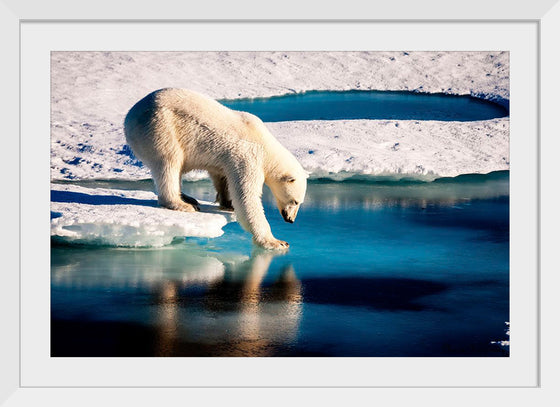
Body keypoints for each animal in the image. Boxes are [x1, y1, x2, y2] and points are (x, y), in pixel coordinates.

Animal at [123, 88, 306, 250]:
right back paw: (182, 204)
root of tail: (129, 117)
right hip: (160, 127)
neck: (266, 146)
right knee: (169, 163)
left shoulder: (227, 159)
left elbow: (222, 176)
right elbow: (247, 197)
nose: (290, 220)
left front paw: (227, 203)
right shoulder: (248, 157)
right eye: (295, 201)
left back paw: (188, 198)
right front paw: (276, 242)